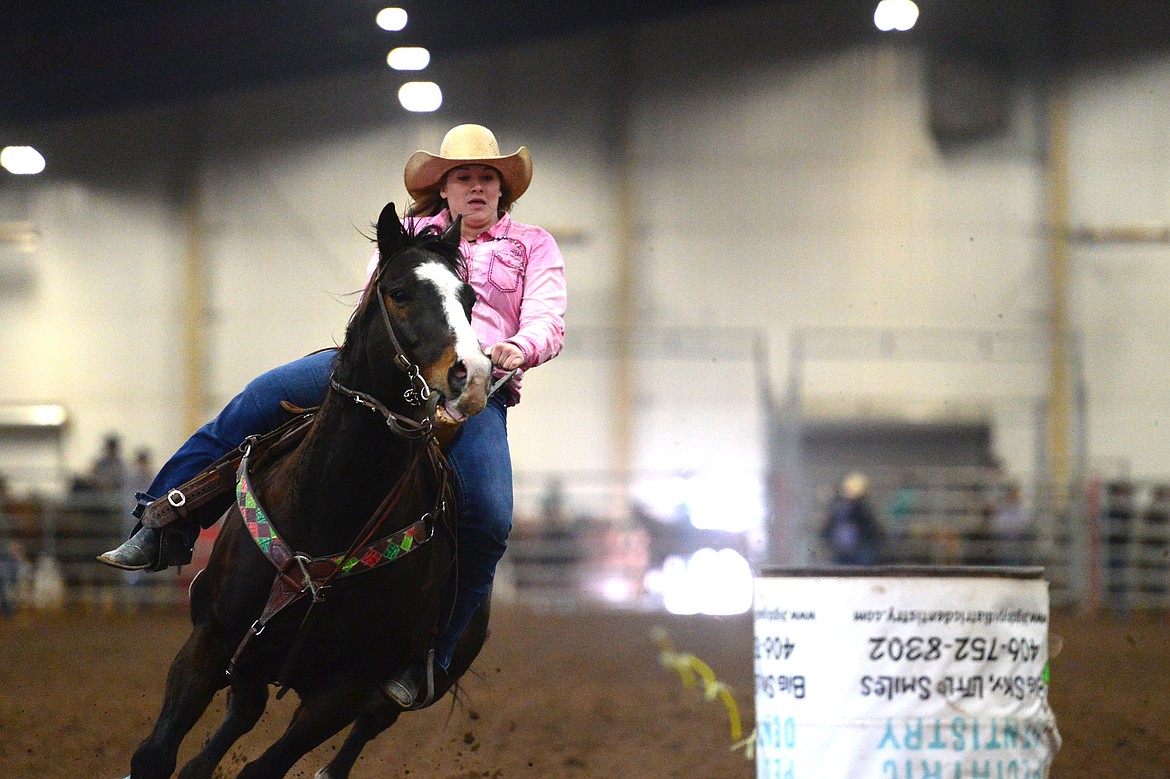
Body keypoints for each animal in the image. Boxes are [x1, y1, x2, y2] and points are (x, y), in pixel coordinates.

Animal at [121, 201, 496, 776]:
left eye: (469, 298)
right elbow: (155, 755)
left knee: (365, 727)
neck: (329, 509)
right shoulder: (211, 637)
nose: (472, 375)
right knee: (238, 718)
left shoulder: (346, 689)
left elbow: (266, 766)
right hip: (253, 659)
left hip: (393, 687)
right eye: (400, 292)